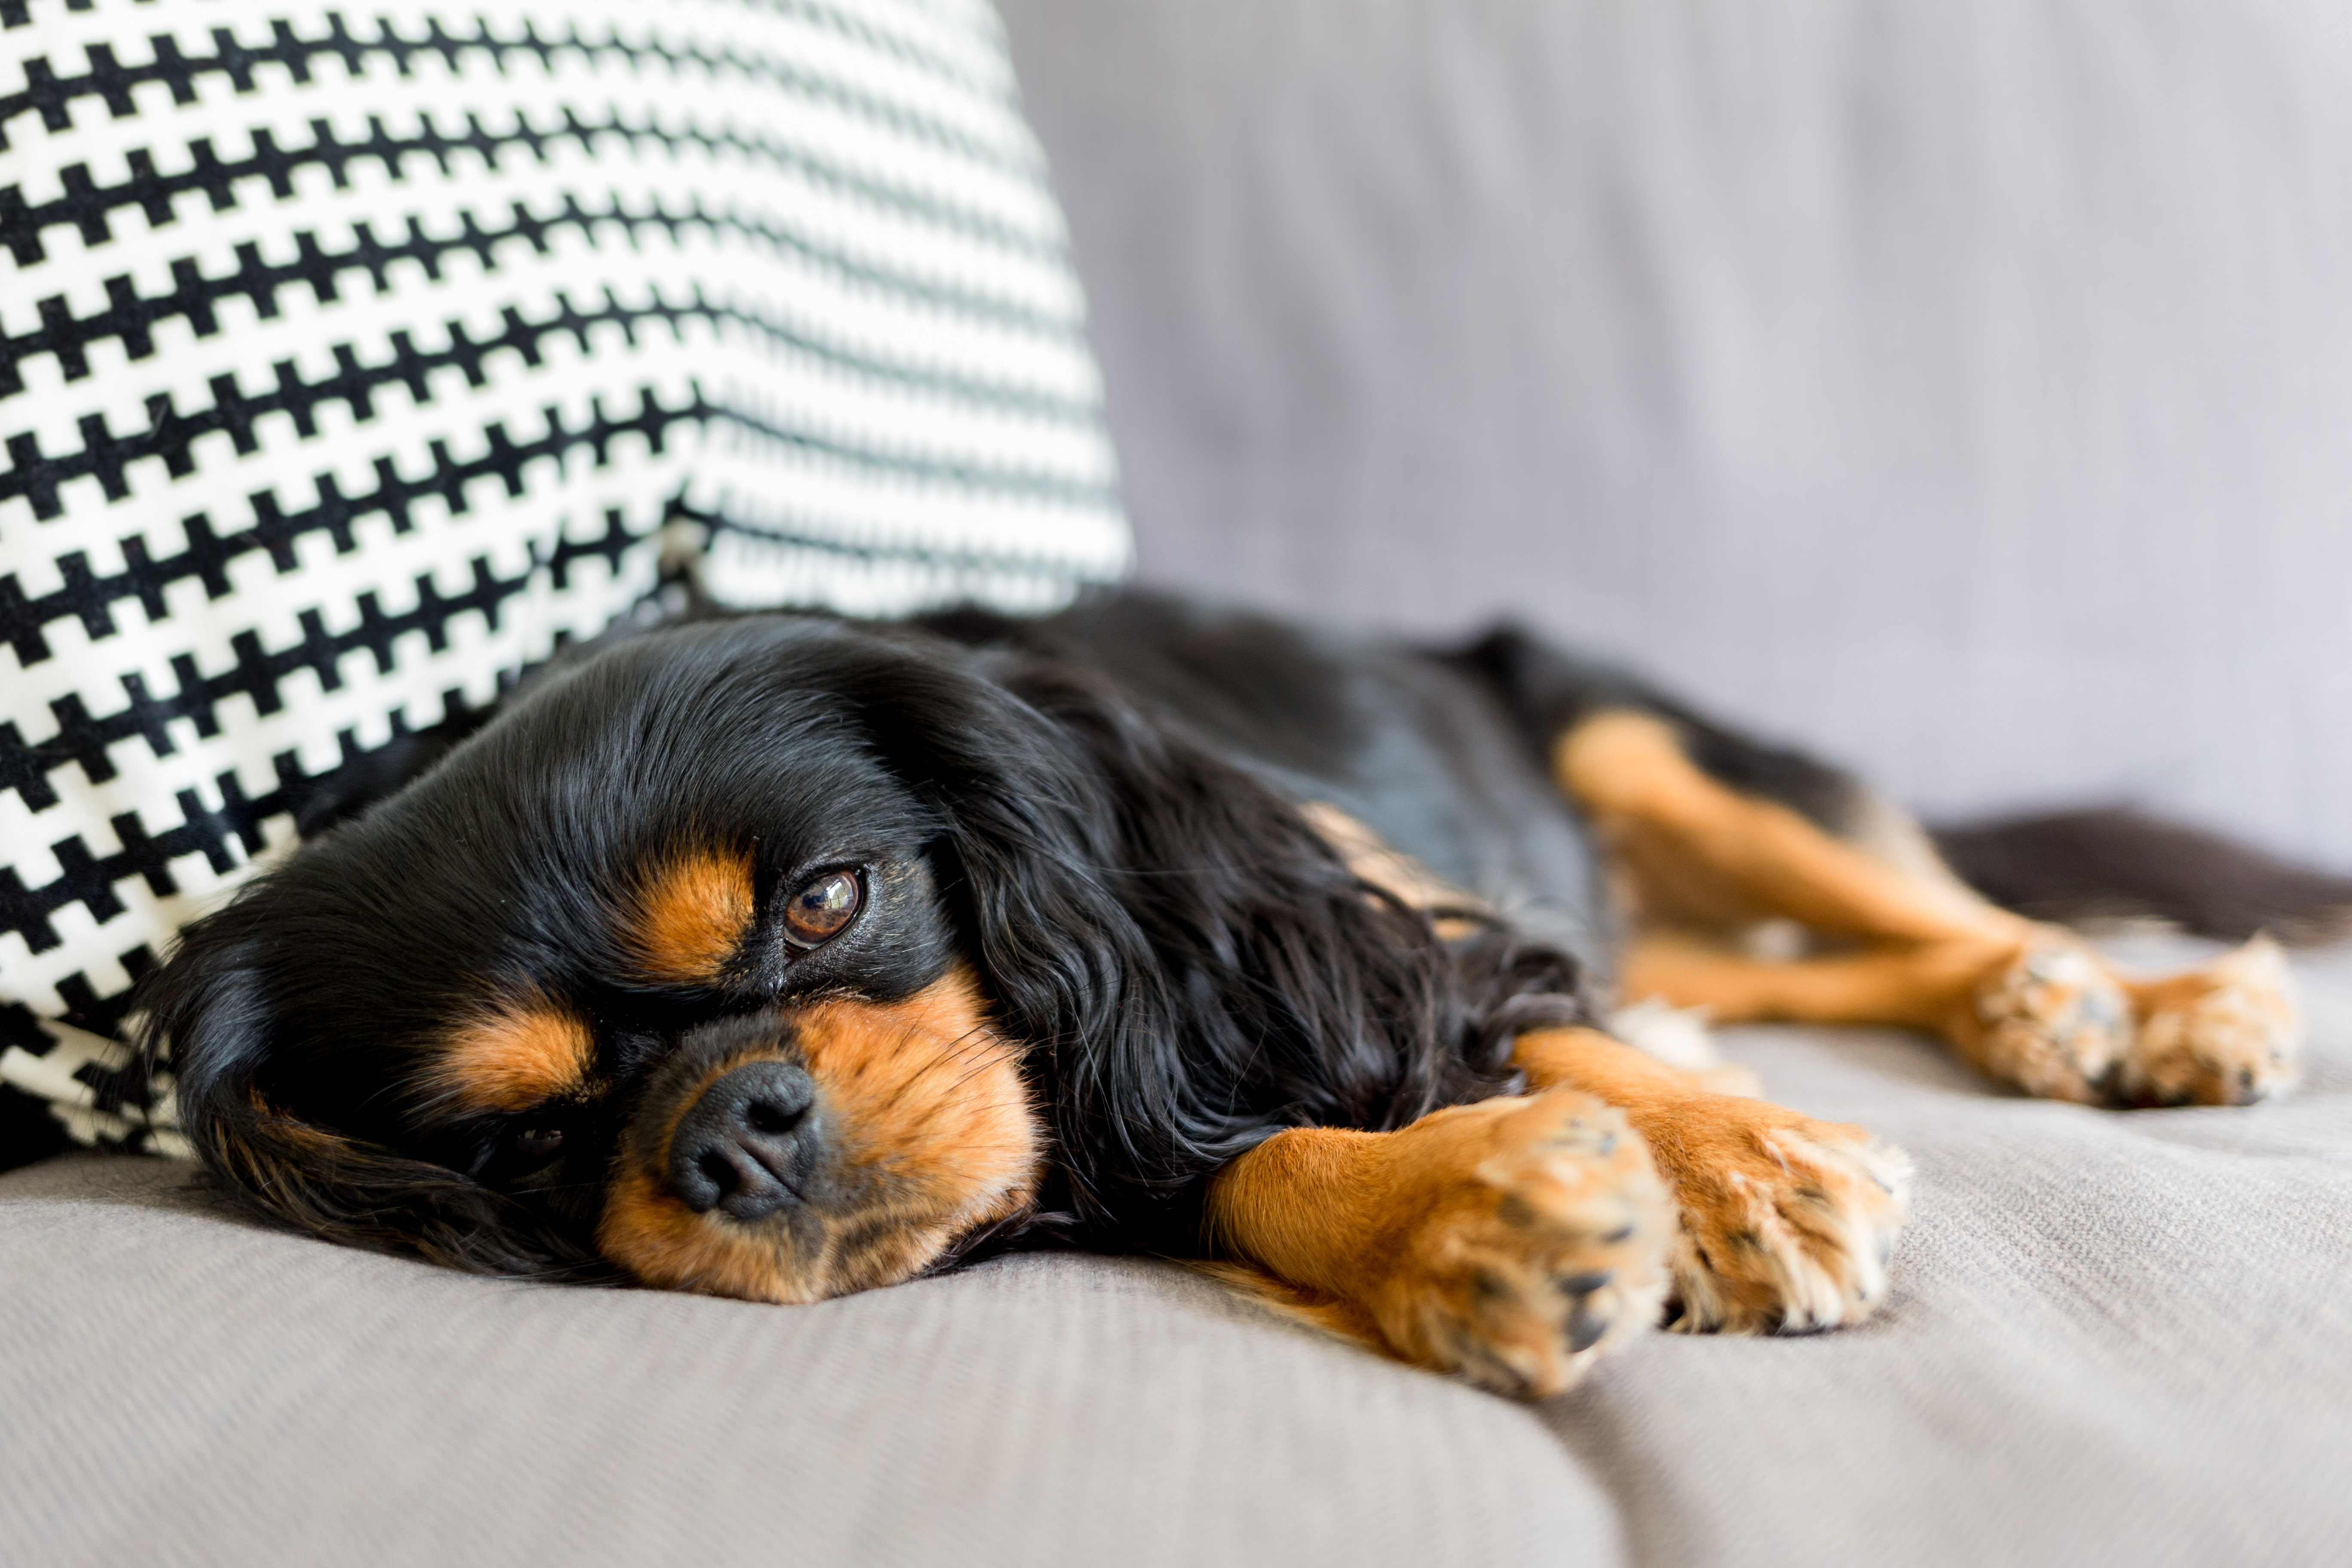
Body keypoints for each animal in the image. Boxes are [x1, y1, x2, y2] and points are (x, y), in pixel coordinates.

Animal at [136, 592, 2336, 1397]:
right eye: (519, 1133)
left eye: (828, 898)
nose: (731, 1131)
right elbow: (1239, 1156)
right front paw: (1461, 1222)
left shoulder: (1349, 911)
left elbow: (1512, 1015)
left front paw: (1735, 1175)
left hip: (1617, 735)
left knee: (1905, 896)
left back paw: (2128, 1006)